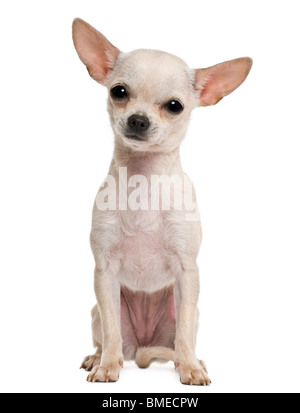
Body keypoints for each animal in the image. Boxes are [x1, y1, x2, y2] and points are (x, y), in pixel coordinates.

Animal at [72, 17, 251, 384]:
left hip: (187, 311)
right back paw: (98, 357)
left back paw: (192, 360)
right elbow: (111, 331)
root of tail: (142, 349)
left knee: (183, 336)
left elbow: (183, 334)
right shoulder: (104, 272)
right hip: (97, 310)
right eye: (119, 92)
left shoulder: (187, 271)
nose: (138, 119)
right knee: (109, 335)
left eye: (174, 106)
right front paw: (107, 366)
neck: (143, 182)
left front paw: (191, 370)